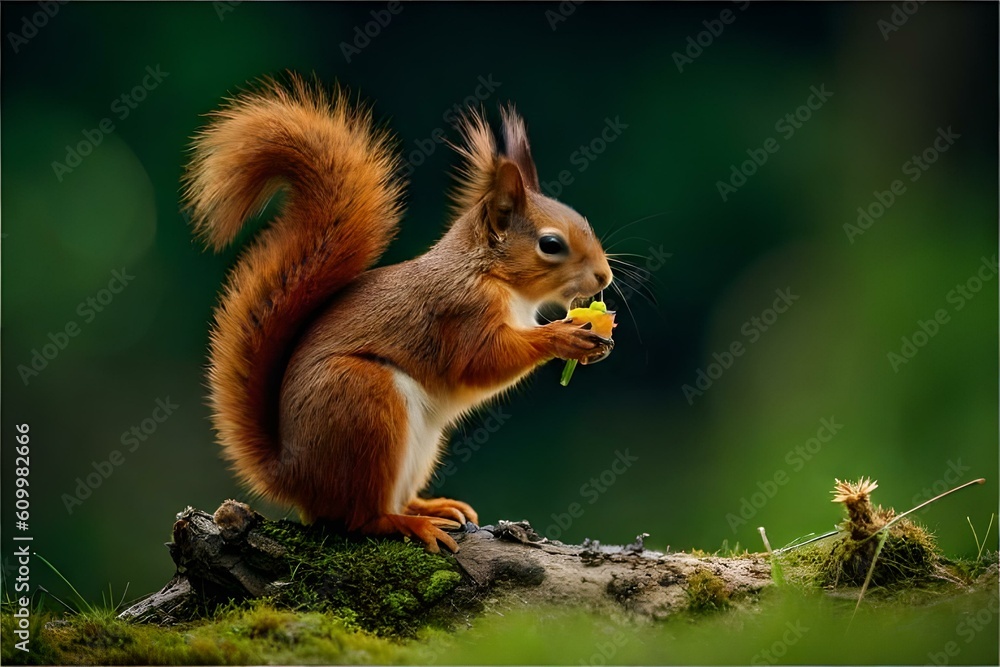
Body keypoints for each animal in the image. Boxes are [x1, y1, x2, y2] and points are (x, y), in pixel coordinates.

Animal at [182, 75, 614, 553]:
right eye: (551, 245)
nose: (605, 276)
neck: (490, 273)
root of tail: (293, 477)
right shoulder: (460, 312)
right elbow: (483, 361)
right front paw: (565, 336)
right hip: (365, 403)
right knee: (360, 519)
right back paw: (409, 523)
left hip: (419, 445)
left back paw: (432, 507)